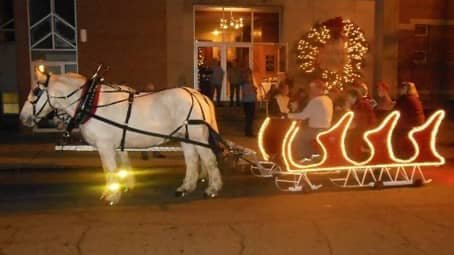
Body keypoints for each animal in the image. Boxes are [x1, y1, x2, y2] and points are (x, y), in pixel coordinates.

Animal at [20, 67, 223, 203]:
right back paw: (186, 187)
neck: (89, 102)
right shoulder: (116, 145)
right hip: (186, 137)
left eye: (36, 91)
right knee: (192, 160)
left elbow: (109, 169)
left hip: (197, 137)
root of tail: (199, 95)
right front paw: (125, 186)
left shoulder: (104, 146)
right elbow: (122, 165)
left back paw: (212, 188)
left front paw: (111, 195)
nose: (23, 117)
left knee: (209, 160)